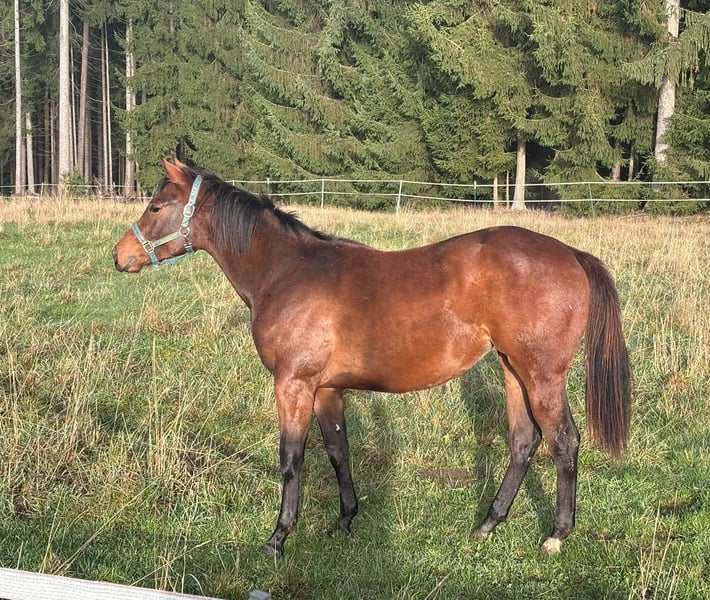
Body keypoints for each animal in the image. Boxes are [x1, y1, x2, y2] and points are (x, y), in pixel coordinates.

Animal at [113, 159, 631, 556]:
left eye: (156, 206)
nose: (119, 256)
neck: (288, 273)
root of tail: (570, 254)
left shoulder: (293, 384)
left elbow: (291, 459)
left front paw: (278, 538)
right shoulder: (327, 389)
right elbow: (338, 452)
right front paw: (345, 520)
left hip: (542, 376)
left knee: (563, 442)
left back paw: (556, 535)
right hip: (511, 370)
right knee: (523, 441)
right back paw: (488, 524)